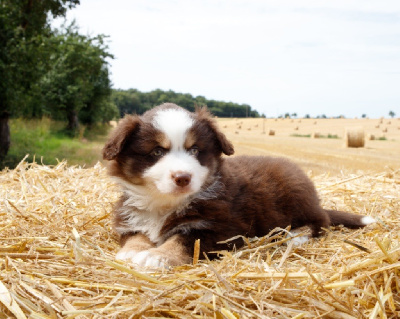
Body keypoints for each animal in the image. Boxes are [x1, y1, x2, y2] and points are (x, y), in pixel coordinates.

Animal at [102, 104, 376, 268]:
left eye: (195, 150)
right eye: (157, 152)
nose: (182, 177)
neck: (165, 204)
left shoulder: (222, 228)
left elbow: (183, 240)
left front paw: (155, 256)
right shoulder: (130, 218)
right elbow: (136, 234)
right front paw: (132, 251)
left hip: (298, 197)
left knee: (320, 223)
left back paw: (294, 236)